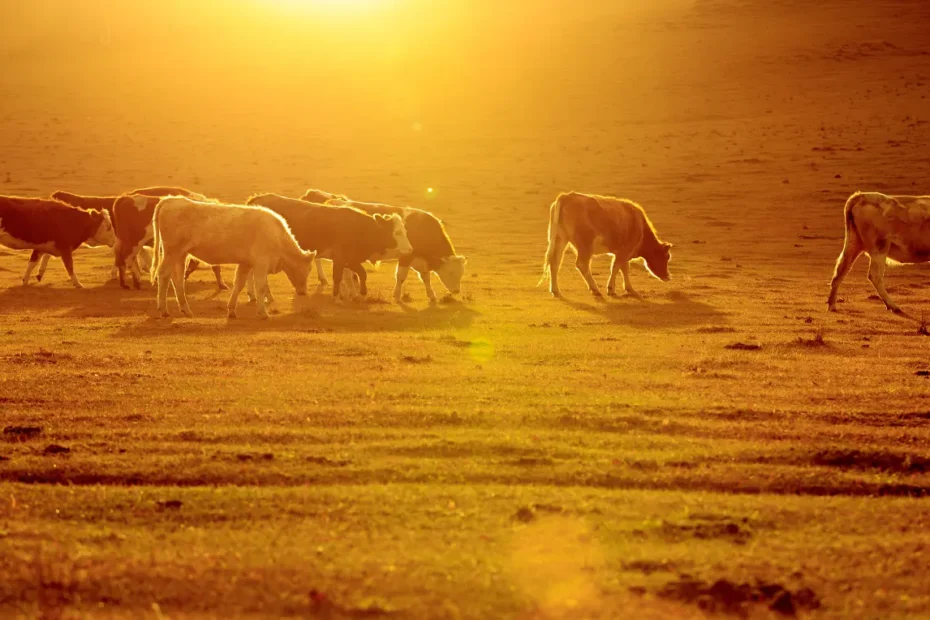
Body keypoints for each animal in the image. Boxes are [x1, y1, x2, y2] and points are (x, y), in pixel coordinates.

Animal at [150, 196, 316, 318]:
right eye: (308, 270)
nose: (303, 292)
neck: (277, 236)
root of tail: (171, 199)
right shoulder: (261, 263)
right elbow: (261, 286)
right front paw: (263, 312)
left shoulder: (246, 263)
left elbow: (239, 284)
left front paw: (231, 310)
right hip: (172, 252)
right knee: (164, 274)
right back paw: (164, 310)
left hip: (180, 255)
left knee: (177, 278)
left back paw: (186, 310)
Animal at [243, 194, 410, 300]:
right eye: (397, 232)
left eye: (405, 231)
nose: (409, 249)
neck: (359, 228)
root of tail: (257, 199)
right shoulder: (341, 258)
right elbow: (338, 277)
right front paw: (337, 297)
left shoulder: (351, 259)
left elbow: (361, 274)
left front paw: (360, 293)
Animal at [322, 196, 468, 302]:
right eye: (451, 272)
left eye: (461, 273)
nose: (457, 291)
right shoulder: (406, 257)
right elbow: (401, 277)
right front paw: (397, 296)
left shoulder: (420, 260)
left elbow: (426, 278)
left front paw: (431, 295)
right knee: (345, 275)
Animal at [532, 194, 672, 300]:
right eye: (666, 257)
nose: (668, 277)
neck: (640, 226)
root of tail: (567, 196)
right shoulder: (625, 251)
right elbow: (616, 268)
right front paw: (611, 289)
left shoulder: (622, 252)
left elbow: (624, 268)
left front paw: (629, 289)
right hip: (585, 245)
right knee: (582, 264)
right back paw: (595, 289)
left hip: (560, 239)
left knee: (555, 262)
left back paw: (556, 291)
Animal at [828, 190, 928, 318]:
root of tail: (862, 196)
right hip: (879, 248)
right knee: (874, 275)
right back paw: (893, 306)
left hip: (853, 244)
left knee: (841, 270)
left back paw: (832, 305)